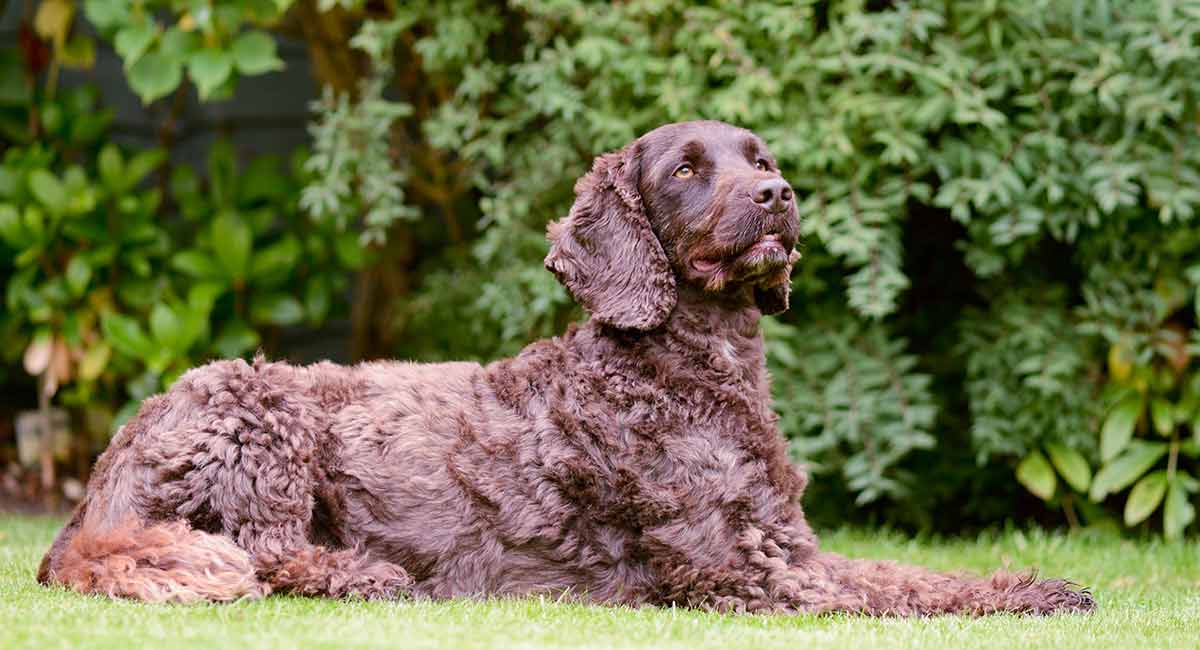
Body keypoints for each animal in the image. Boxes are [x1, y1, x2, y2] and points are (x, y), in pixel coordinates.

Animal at [37, 121, 1094, 618]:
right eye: (686, 170)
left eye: (760, 158)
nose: (779, 194)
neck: (692, 366)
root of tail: (98, 485)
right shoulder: (731, 572)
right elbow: (871, 593)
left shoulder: (786, 545)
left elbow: (910, 575)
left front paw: (1031, 588)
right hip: (264, 409)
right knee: (266, 552)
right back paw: (362, 574)